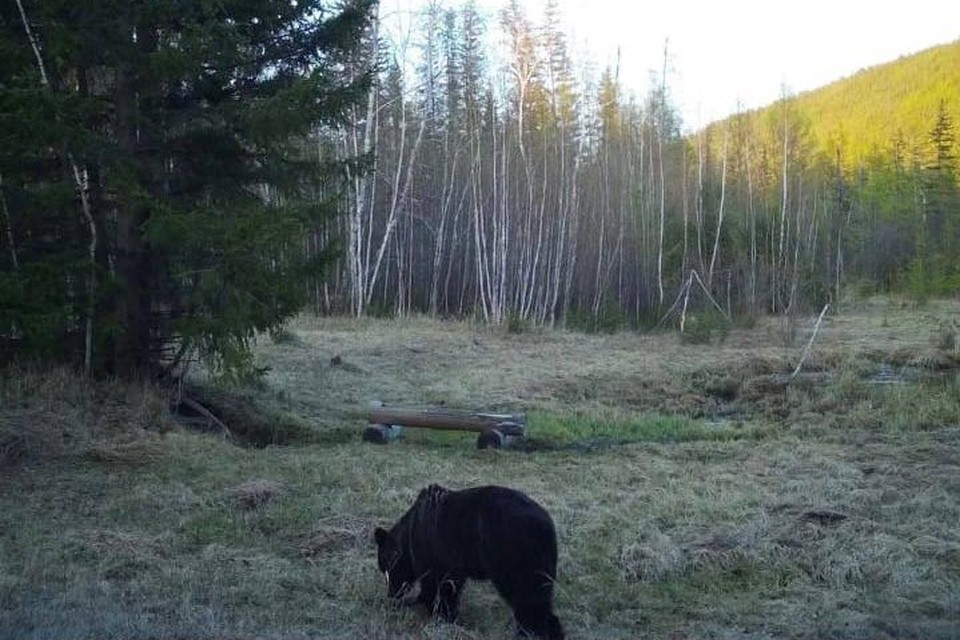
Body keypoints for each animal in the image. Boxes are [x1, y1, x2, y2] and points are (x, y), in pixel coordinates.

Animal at [374, 484, 564, 640]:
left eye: (386, 569)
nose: (391, 594)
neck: (411, 533)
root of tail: (547, 526)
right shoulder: (453, 561)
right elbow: (450, 585)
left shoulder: (435, 552)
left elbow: (437, 585)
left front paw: (439, 611)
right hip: (540, 564)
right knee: (541, 599)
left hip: (515, 559)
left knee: (528, 598)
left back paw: (527, 631)